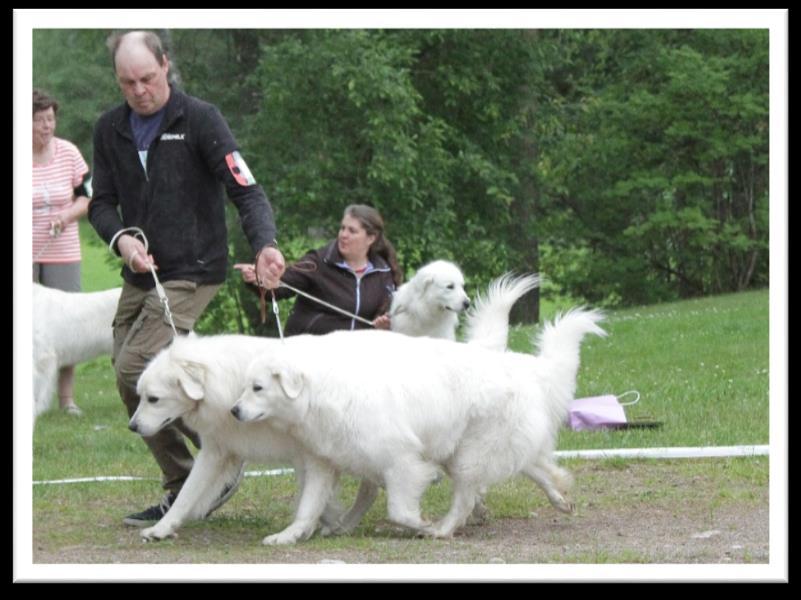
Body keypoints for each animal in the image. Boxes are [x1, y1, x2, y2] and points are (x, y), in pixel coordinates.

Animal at [130, 336, 360, 548]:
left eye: (153, 399)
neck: (229, 387)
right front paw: (161, 528)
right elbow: (186, 495)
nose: (132, 427)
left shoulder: (311, 455)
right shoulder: (215, 451)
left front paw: (314, 525)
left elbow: (312, 494)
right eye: (140, 396)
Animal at [231, 310, 608, 540]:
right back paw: (559, 497)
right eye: (246, 385)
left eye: (258, 388)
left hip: (468, 456)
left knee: (467, 497)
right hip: (465, 451)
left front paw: (421, 524)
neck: (322, 387)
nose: (234, 411)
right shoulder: (326, 462)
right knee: (533, 466)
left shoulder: (400, 462)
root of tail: (524, 368)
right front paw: (291, 536)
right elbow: (309, 507)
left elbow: (398, 510)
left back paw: (442, 529)